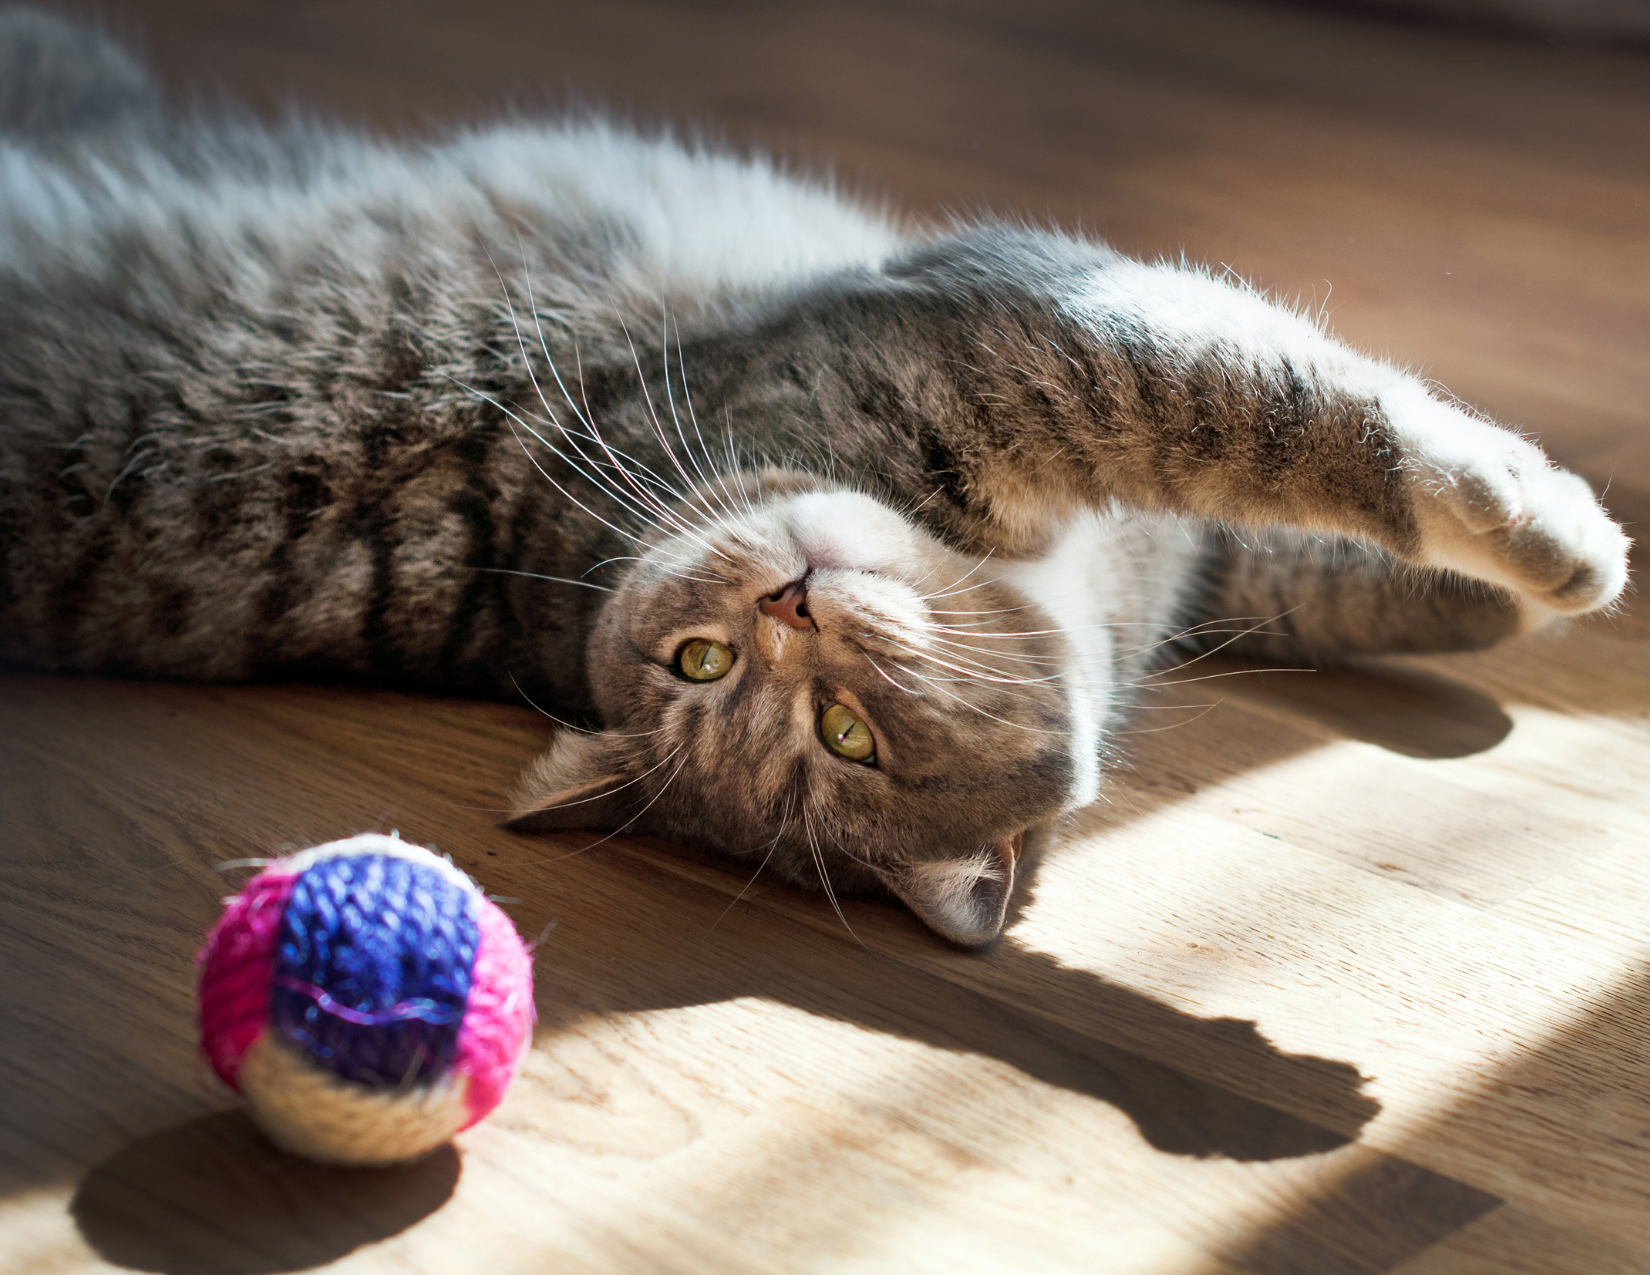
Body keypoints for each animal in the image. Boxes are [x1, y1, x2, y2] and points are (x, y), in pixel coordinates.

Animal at [0, 9, 1623, 943]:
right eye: (721, 675)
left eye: (839, 729)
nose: (790, 605)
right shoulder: (1007, 336)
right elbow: (1287, 413)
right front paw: (1547, 538)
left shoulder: (1172, 544)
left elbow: (1299, 564)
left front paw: (1477, 609)